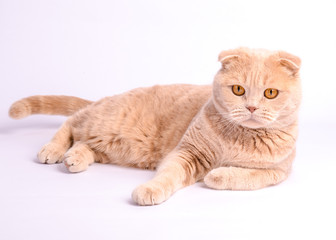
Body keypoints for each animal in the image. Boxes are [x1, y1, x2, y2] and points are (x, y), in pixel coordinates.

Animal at [9, 47, 302, 205]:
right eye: (238, 90)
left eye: (270, 93)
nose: (251, 107)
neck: (239, 138)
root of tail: (107, 98)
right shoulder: (187, 153)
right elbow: (168, 176)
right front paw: (149, 191)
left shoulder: (277, 172)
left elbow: (247, 176)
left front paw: (216, 175)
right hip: (106, 121)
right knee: (71, 123)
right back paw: (52, 150)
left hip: (113, 143)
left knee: (84, 143)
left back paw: (74, 159)